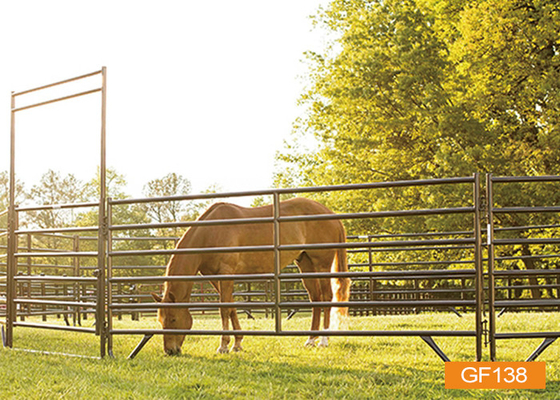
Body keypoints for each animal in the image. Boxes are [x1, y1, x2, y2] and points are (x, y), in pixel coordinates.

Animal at [151, 196, 348, 354]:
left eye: (173, 318)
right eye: (160, 320)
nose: (170, 351)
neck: (211, 232)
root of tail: (331, 214)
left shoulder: (226, 273)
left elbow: (224, 309)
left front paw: (223, 346)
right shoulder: (214, 277)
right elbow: (231, 307)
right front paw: (237, 343)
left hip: (321, 264)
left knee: (326, 297)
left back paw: (323, 340)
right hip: (305, 263)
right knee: (316, 299)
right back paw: (311, 339)